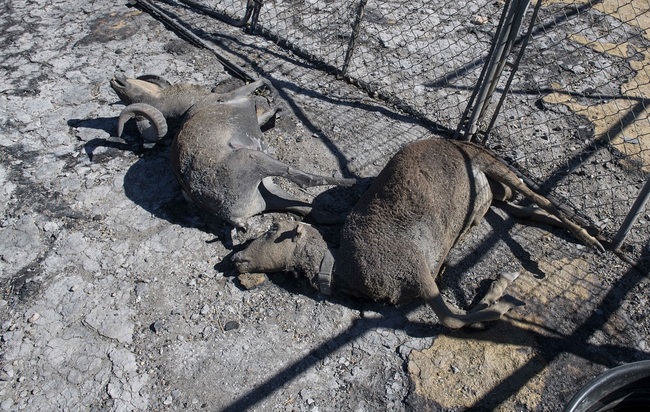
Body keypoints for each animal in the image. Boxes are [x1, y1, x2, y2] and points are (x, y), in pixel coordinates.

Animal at [230, 138, 600, 328]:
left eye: (272, 230)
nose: (235, 259)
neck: (341, 269)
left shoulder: (417, 271)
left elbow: (452, 319)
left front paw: (503, 296)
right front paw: (501, 289)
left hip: (490, 162)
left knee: (538, 197)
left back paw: (590, 237)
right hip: (491, 194)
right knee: (518, 208)